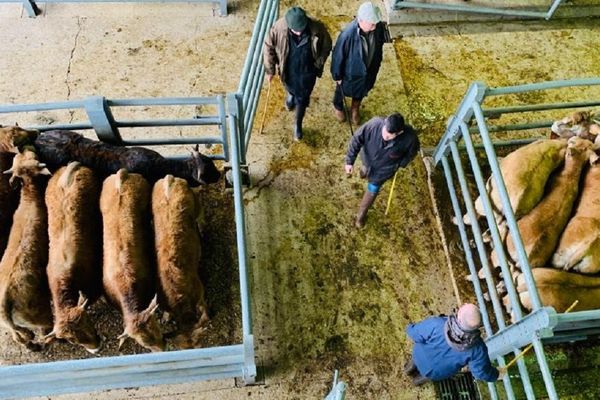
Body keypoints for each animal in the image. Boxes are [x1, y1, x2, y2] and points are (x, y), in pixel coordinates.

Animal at [0, 150, 52, 350]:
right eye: (35, 161)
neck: (29, 199)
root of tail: (6, 303)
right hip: (40, 314)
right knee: (46, 331)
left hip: (13, 325)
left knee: (20, 336)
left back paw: (31, 345)